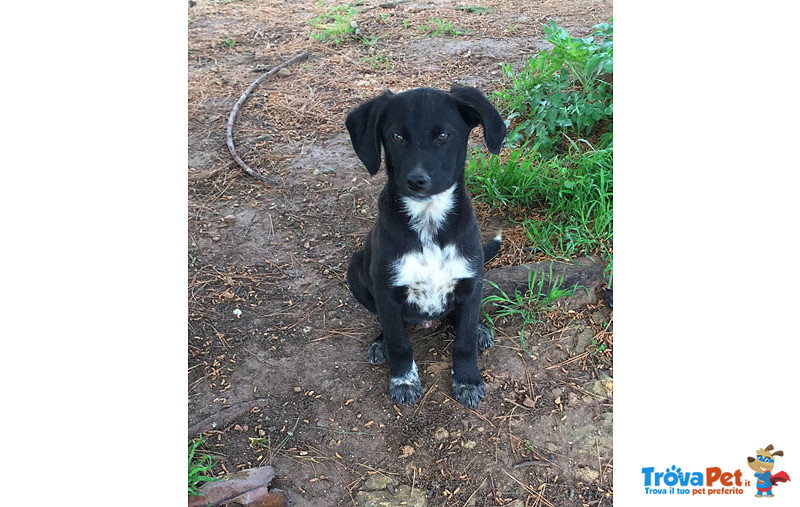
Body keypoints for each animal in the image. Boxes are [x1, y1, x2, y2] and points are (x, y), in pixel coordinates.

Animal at [344, 86, 506, 408]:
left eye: (443, 135)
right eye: (396, 136)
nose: (417, 181)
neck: (429, 221)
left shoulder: (471, 284)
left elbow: (464, 340)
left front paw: (467, 380)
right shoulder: (387, 292)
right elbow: (399, 342)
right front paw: (404, 380)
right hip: (355, 269)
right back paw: (380, 343)